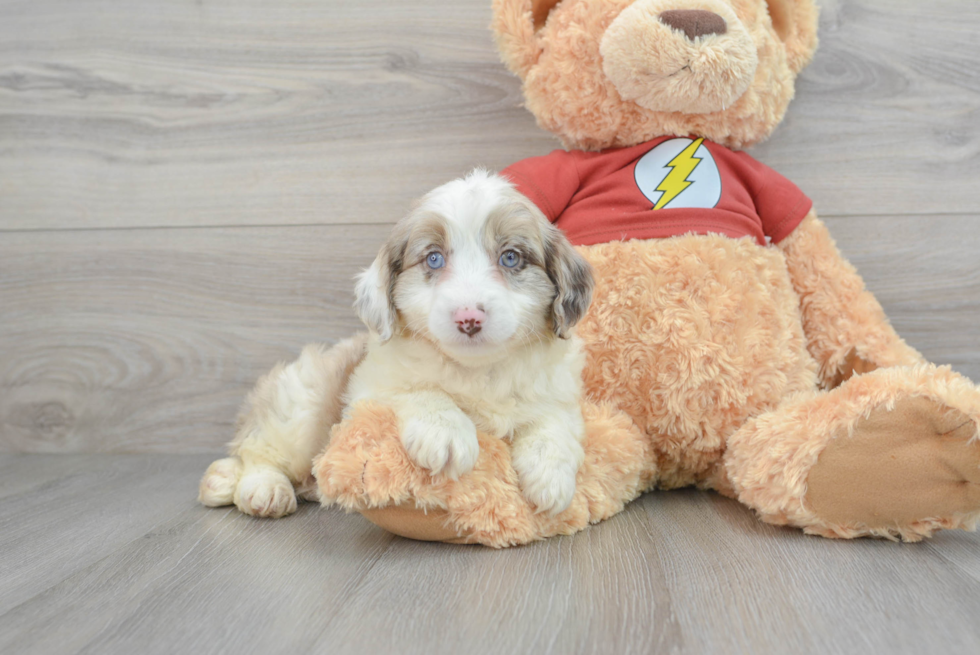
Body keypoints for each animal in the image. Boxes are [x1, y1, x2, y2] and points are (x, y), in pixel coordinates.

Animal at [200, 172, 592, 520]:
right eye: (433, 258)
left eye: (511, 257)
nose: (468, 317)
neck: (478, 371)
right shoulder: (368, 387)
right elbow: (418, 389)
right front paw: (446, 432)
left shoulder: (558, 394)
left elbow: (554, 423)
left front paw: (552, 478)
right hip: (300, 404)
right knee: (257, 450)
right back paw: (262, 488)